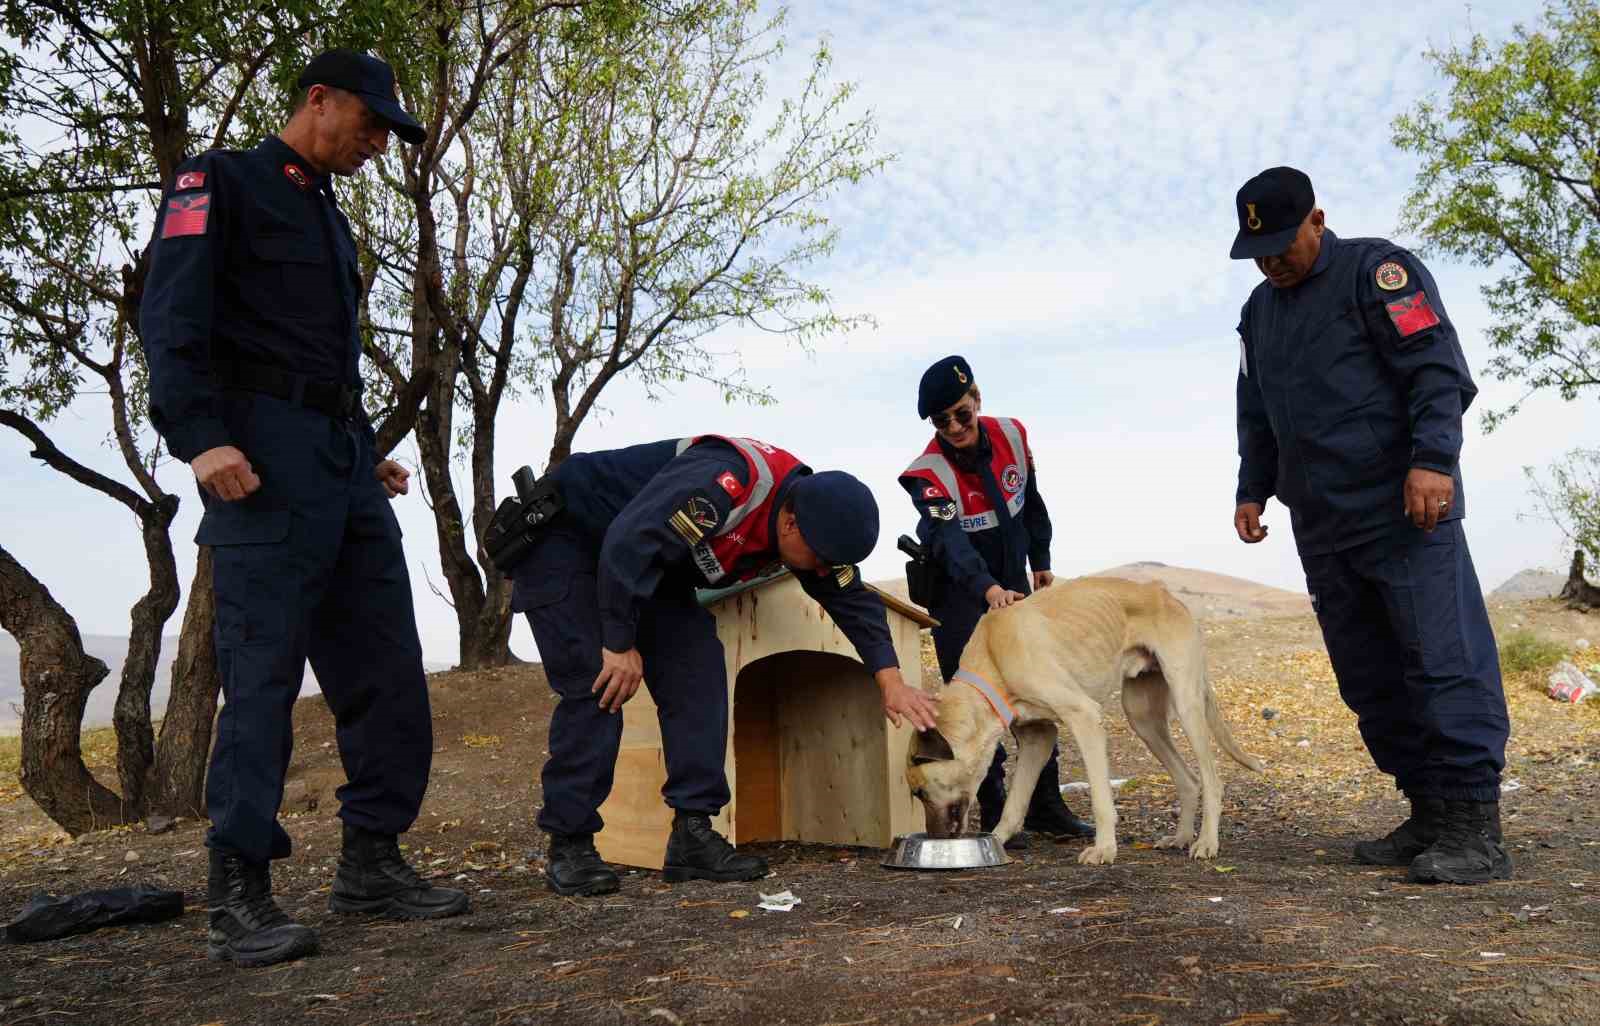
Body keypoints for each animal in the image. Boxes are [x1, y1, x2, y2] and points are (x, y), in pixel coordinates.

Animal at [902, 576, 1260, 864]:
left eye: (920, 793)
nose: (937, 840)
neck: (993, 658)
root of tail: (1164, 593)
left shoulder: (1084, 716)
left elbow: (1101, 799)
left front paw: (1104, 850)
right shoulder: (1038, 737)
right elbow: (1014, 804)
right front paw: (997, 842)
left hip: (1187, 705)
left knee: (1211, 781)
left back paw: (1206, 842)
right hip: (1143, 719)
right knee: (1189, 779)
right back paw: (1182, 837)